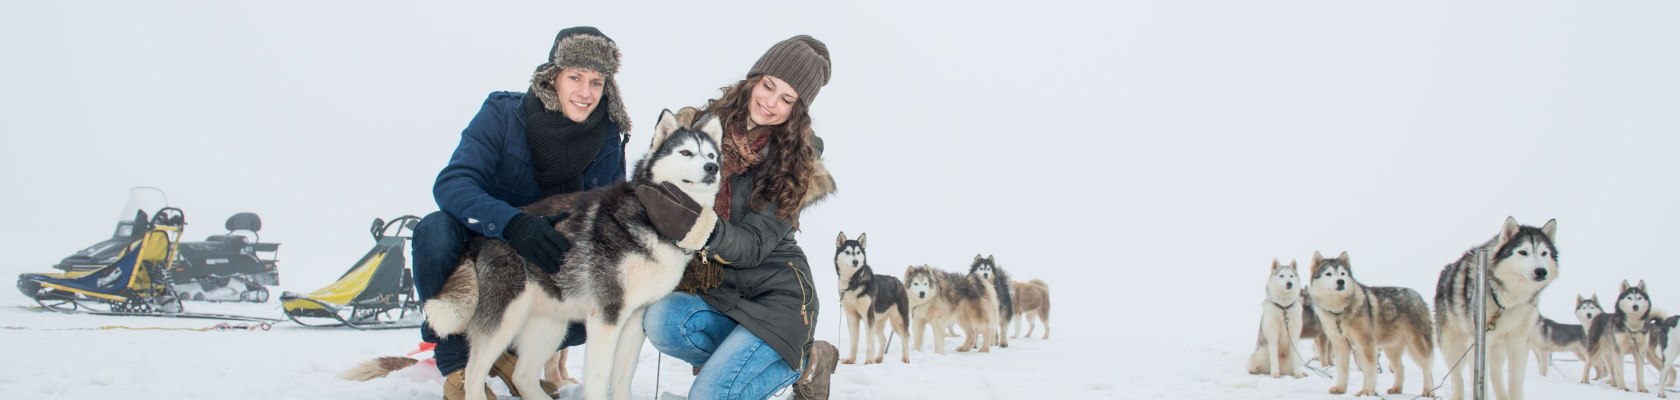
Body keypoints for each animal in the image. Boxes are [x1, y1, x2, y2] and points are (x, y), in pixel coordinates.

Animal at [423, 109, 719, 400]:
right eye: (685, 152)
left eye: (712, 155)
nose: (712, 168)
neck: (650, 217)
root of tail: (481, 237)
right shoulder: (607, 317)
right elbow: (599, 379)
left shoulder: (636, 318)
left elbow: (622, 378)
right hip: (503, 319)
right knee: (474, 375)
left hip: (549, 325)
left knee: (523, 376)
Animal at [836, 231, 913, 366]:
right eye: (847, 252)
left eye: (858, 252)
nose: (855, 261)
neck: (853, 283)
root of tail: (898, 281)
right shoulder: (852, 318)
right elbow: (853, 342)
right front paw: (851, 360)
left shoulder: (868, 317)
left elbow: (870, 343)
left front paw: (869, 361)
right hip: (878, 321)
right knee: (884, 339)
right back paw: (879, 358)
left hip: (898, 319)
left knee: (905, 338)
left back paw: (905, 358)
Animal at [1303, 252, 1438, 394]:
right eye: (1328, 273)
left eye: (1342, 273)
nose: (1341, 281)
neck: (1339, 312)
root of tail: (1417, 295)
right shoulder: (1340, 345)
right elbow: (1342, 370)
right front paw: (1340, 388)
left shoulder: (1366, 344)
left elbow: (1369, 370)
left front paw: (1366, 392)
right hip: (1391, 348)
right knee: (1401, 368)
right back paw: (1396, 389)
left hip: (1416, 345)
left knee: (1427, 368)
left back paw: (1428, 392)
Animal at [1431, 218, 1559, 400]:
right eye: (1523, 252)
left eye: (1544, 253)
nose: (1541, 271)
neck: (1507, 302)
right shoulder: (1480, 342)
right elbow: (1479, 381)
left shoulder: (1518, 342)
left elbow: (1515, 384)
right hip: (1452, 345)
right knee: (1457, 379)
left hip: (1498, 349)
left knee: (1494, 374)